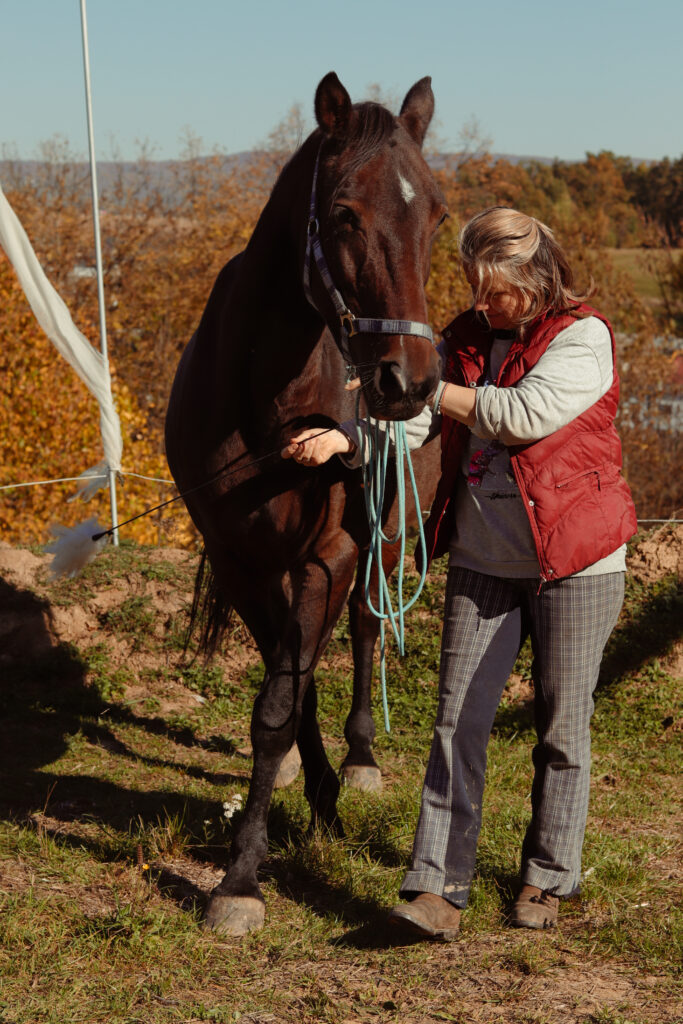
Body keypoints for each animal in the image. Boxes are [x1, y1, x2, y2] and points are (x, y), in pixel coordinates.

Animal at [165, 71, 446, 936]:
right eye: (345, 212)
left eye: (436, 213)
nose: (410, 381)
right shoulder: (241, 560)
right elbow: (283, 696)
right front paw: (289, 820)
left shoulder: (330, 554)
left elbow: (287, 696)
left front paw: (245, 874)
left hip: (381, 544)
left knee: (363, 632)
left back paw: (358, 760)